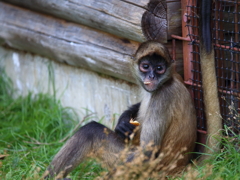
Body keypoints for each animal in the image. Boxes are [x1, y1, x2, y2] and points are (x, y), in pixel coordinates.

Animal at [43, 40, 197, 179]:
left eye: (159, 68)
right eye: (145, 66)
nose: (152, 76)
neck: (166, 82)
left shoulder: (163, 96)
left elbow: (147, 153)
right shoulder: (177, 75)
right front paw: (122, 122)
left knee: (90, 130)